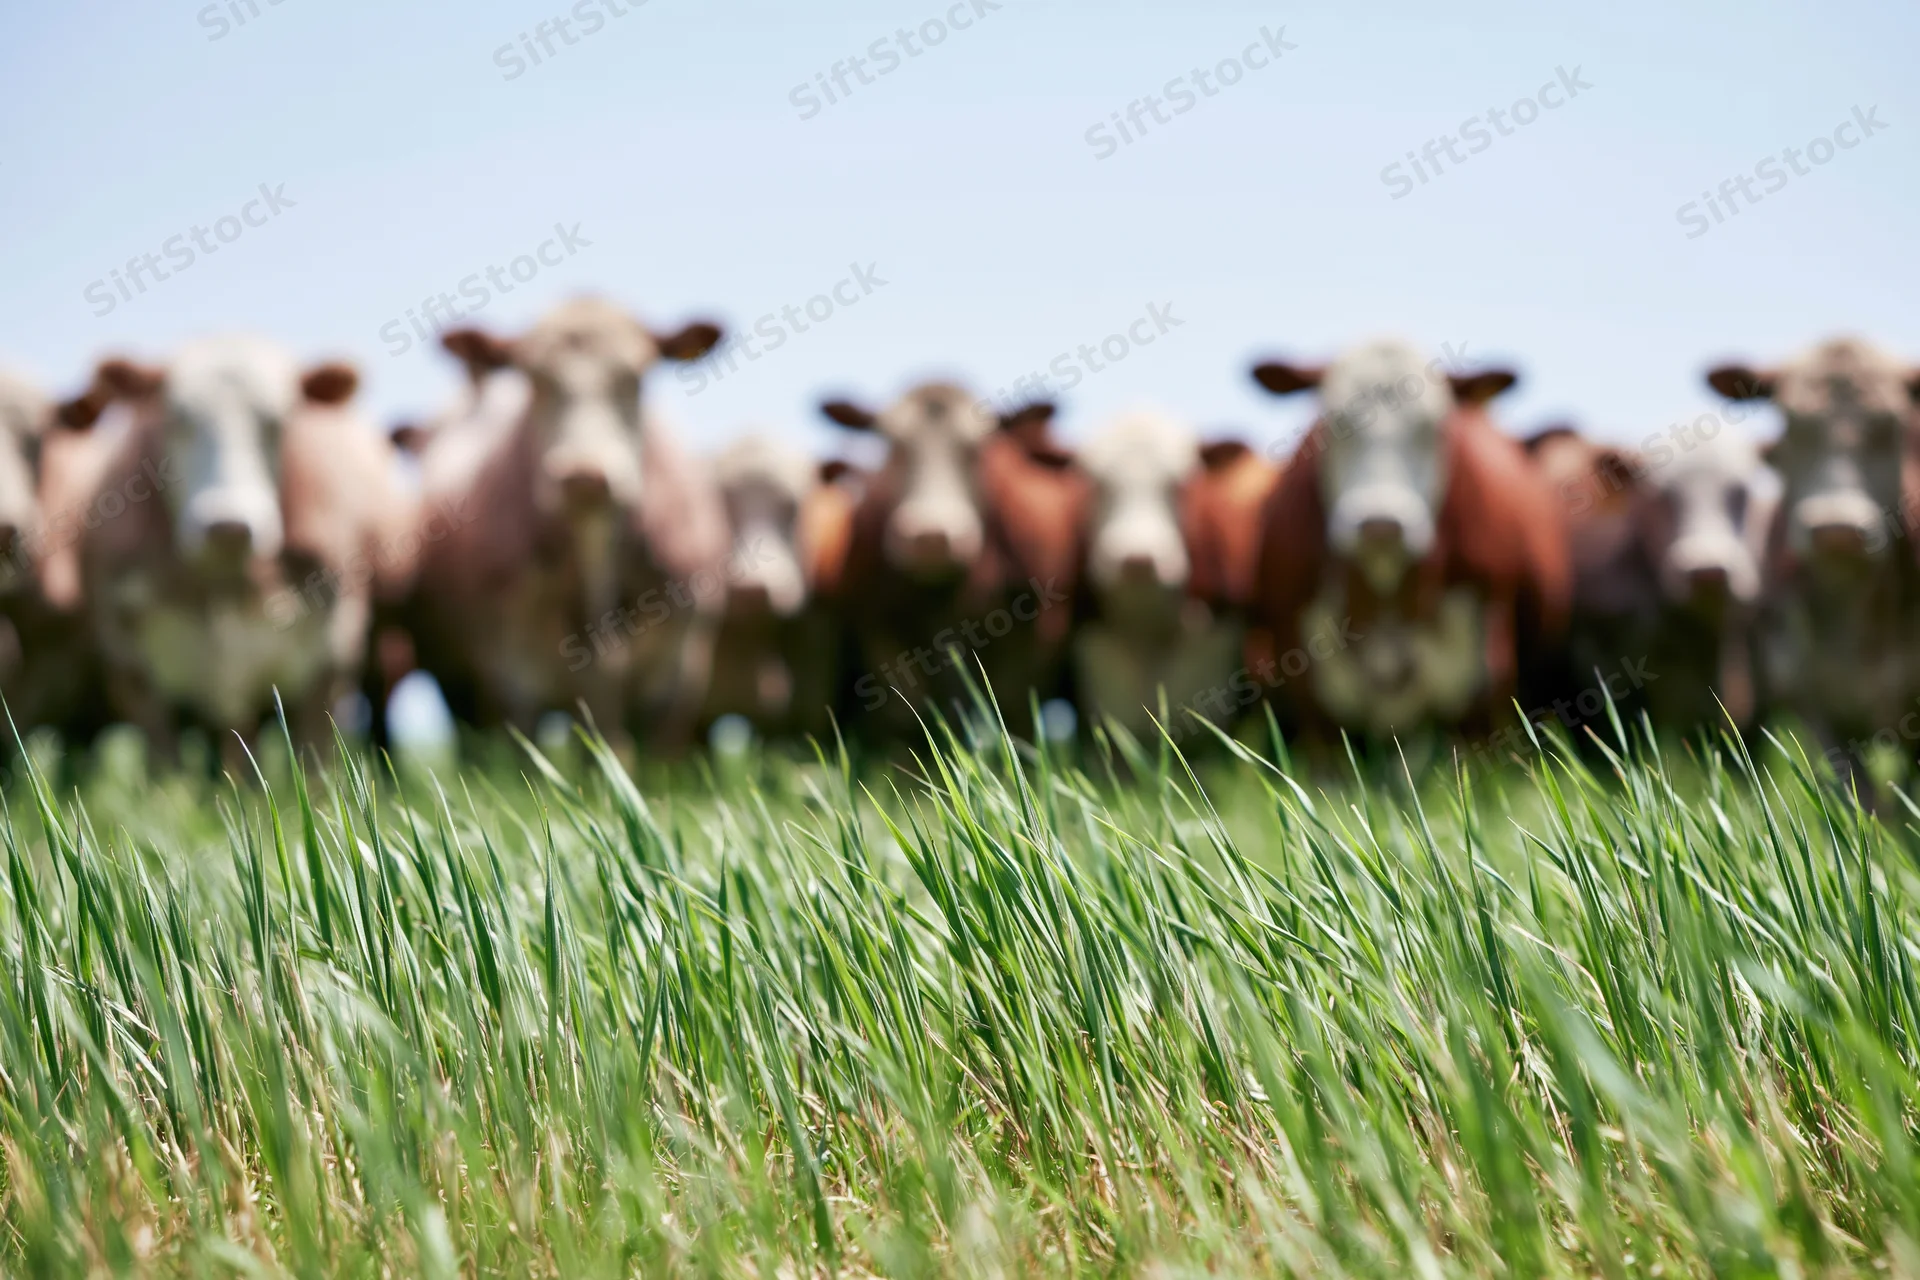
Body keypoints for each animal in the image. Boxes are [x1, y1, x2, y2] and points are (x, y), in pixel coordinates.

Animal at [55, 338, 413, 767]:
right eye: (177, 418)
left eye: (278, 422)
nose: (227, 526)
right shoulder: (129, 664)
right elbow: (167, 767)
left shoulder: (332, 655)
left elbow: (317, 762)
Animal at [820, 383, 1086, 745]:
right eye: (892, 445)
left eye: (977, 450)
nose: (931, 538)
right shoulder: (877, 625)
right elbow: (905, 712)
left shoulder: (1035, 632)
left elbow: (1014, 708)